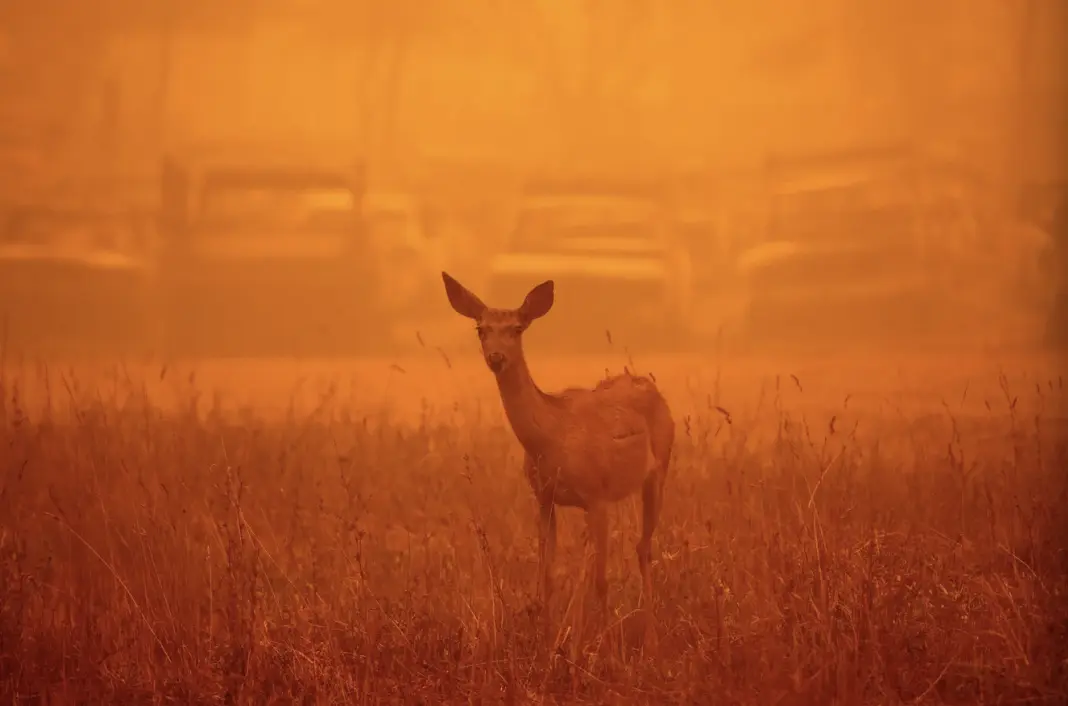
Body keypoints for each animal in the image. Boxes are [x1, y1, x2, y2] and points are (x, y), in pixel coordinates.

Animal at [440, 271, 675, 621]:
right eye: (481, 329)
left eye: (517, 328)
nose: (496, 357)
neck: (551, 439)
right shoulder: (544, 497)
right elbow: (547, 577)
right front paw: (549, 634)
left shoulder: (596, 495)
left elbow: (601, 581)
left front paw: (605, 637)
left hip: (659, 470)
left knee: (643, 548)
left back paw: (650, 632)